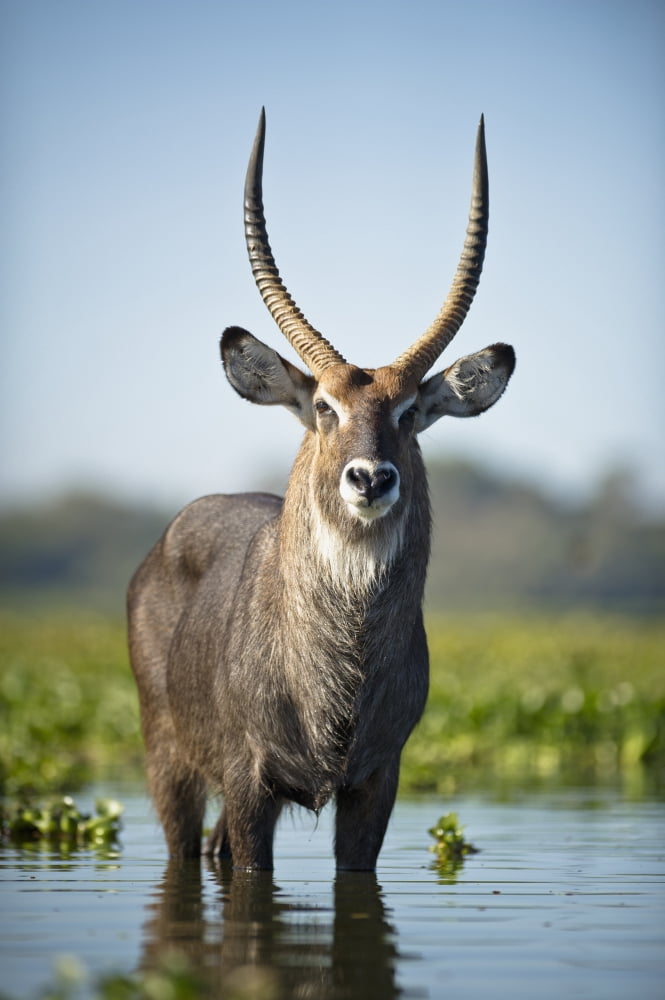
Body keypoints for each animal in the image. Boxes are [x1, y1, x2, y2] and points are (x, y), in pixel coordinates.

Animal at [127, 110, 515, 870]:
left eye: (408, 412)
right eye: (325, 408)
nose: (370, 477)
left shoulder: (377, 781)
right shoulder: (249, 780)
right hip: (169, 761)